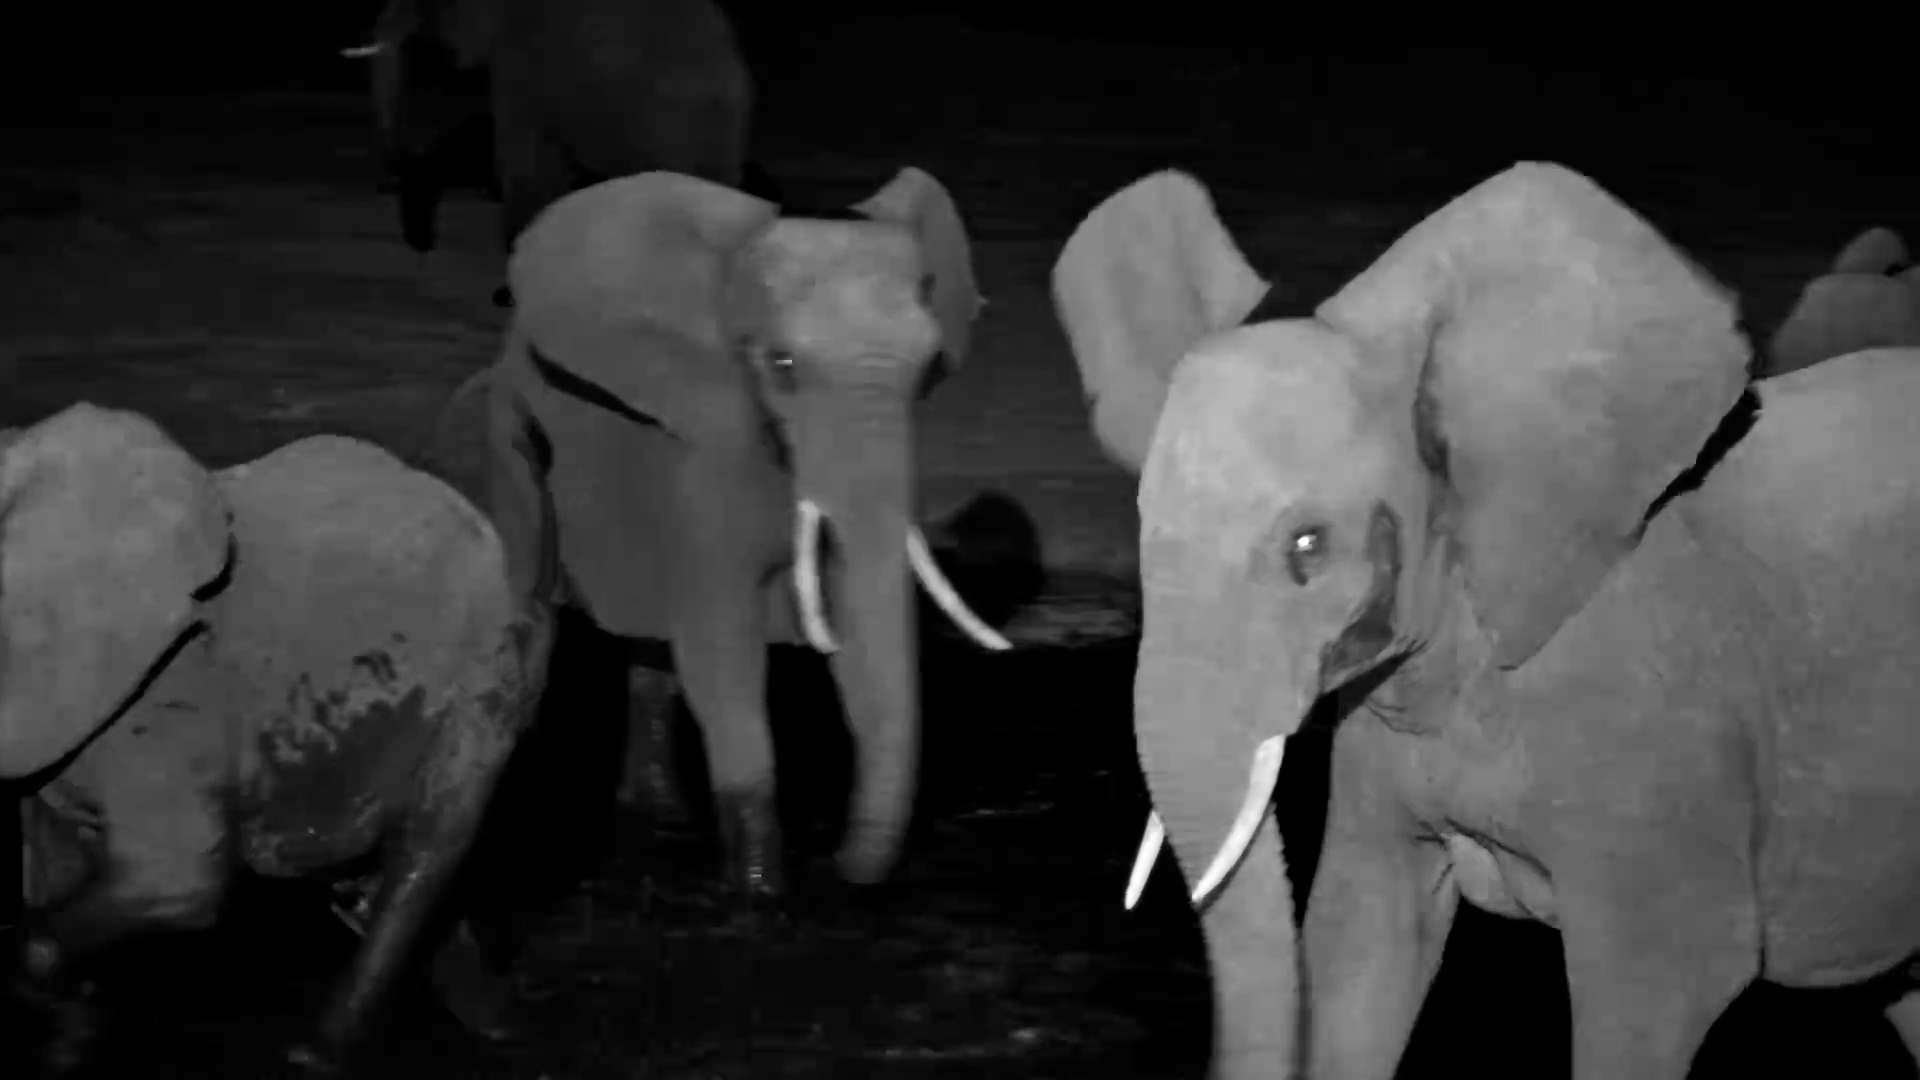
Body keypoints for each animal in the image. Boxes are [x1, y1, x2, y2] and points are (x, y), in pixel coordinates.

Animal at [1, 401, 553, 1074]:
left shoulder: (168, 685)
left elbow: (181, 880)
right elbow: (49, 874)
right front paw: (68, 1046)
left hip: (487, 671)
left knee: (426, 846)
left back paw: (316, 1057)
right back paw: (499, 1025)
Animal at [342, 0, 771, 304]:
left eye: (419, 58)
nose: (422, 245)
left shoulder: (526, 71)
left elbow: (530, 168)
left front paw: (511, 293)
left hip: (660, 124)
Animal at [426, 167, 1012, 904]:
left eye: (932, 365)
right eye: (782, 365)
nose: (841, 868)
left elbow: (852, 637)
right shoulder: (703, 461)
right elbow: (722, 649)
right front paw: (760, 891)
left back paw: (659, 813)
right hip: (495, 454)